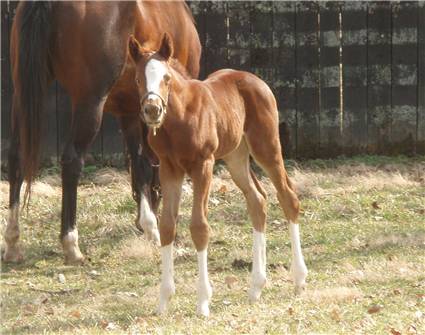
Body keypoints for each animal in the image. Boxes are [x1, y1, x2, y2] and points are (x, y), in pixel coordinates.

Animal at [3, 1, 200, 266]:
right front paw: (153, 226)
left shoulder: (130, 110)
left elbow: (139, 163)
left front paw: (148, 224)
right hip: (90, 102)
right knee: (72, 160)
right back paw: (71, 244)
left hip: (23, 95)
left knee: (16, 156)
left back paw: (13, 241)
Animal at [127, 34, 306, 318]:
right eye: (137, 79)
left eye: (166, 77)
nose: (152, 110)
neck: (180, 116)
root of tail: (256, 80)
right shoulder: (169, 168)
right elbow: (167, 225)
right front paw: (163, 300)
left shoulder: (203, 164)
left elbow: (199, 227)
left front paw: (203, 301)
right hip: (236, 157)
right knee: (257, 201)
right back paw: (256, 287)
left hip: (265, 146)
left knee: (288, 197)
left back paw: (298, 280)